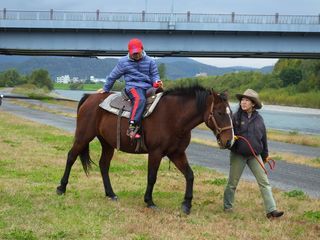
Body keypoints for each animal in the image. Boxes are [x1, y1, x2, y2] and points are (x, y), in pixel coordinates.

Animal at [57, 85, 232, 215]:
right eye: (219, 112)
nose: (229, 141)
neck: (174, 117)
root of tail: (90, 97)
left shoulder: (177, 153)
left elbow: (189, 175)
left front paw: (187, 204)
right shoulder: (156, 152)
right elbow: (152, 177)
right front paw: (149, 201)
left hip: (107, 143)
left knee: (104, 165)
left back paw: (111, 194)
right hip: (83, 137)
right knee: (71, 156)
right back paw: (61, 188)